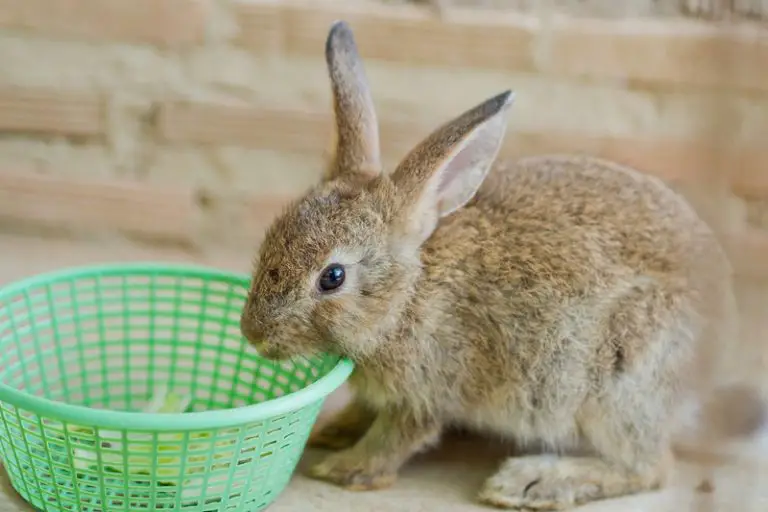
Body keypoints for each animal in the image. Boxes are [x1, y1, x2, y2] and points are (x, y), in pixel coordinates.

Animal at [239, 20, 767, 510]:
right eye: (274, 234)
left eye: (332, 277)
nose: (253, 333)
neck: (407, 296)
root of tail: (704, 379)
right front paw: (334, 430)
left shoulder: (427, 390)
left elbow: (397, 436)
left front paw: (346, 468)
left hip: (620, 382)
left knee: (651, 467)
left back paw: (533, 481)